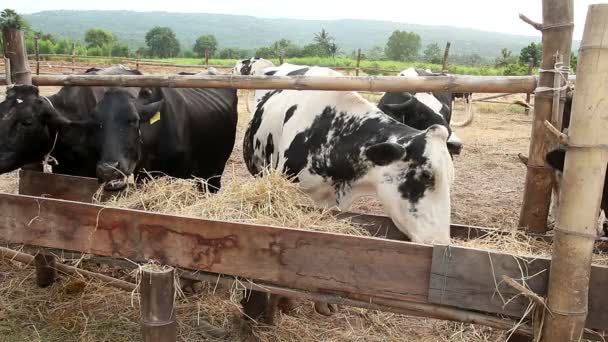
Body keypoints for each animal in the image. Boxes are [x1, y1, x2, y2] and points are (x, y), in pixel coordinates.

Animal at [94, 70, 239, 191]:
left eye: (134, 120)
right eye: (98, 123)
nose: (108, 170)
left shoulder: (174, 173)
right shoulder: (142, 174)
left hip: (217, 167)